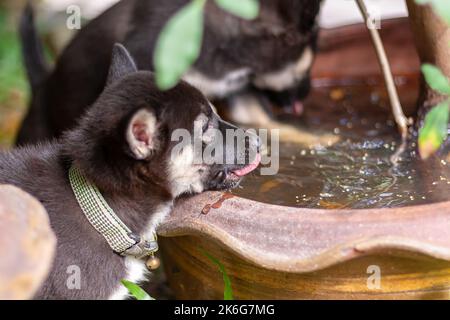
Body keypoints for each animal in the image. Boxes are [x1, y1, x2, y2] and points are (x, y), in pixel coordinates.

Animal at [16, 0, 320, 144]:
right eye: (306, 69)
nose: (307, 92)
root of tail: (40, 86)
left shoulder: (238, 91)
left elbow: (268, 123)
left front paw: (316, 139)